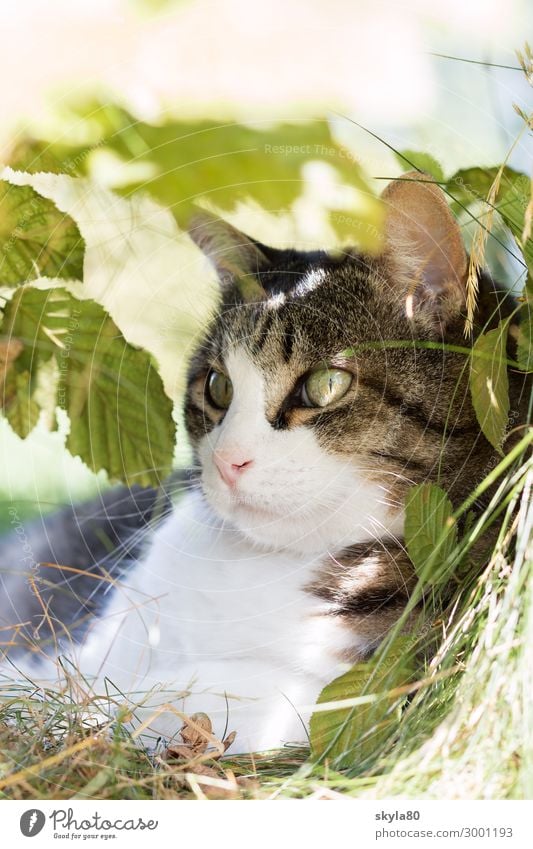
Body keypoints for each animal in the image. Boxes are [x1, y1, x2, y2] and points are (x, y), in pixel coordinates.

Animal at [0, 171, 524, 748]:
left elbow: (148, 700)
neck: (272, 561)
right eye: (218, 386)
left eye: (325, 385)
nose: (228, 461)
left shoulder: (356, 697)